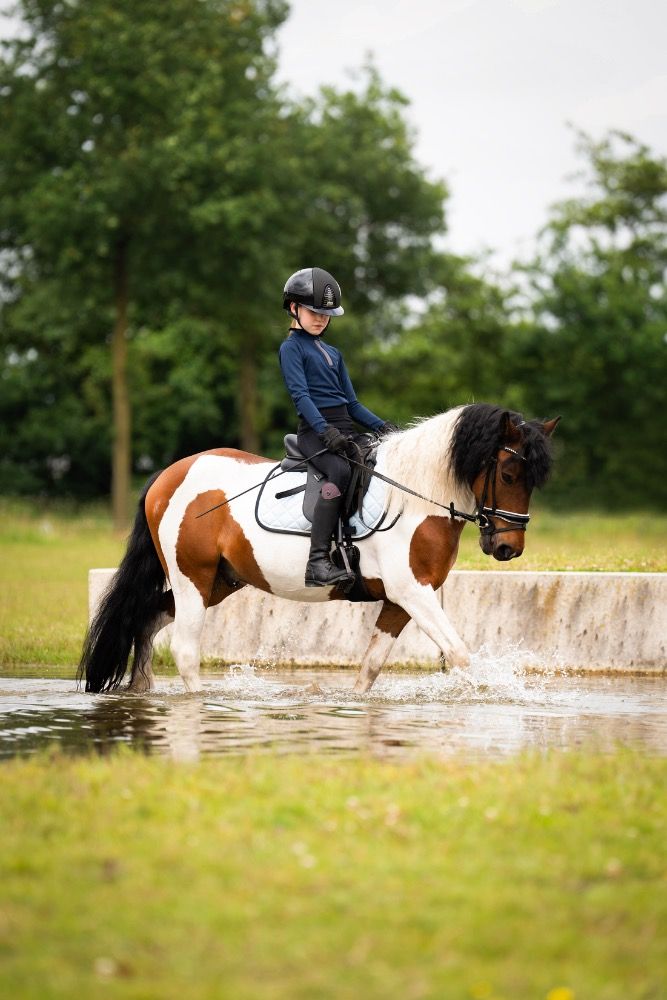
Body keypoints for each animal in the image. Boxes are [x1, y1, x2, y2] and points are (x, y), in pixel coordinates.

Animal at [79, 403, 559, 696]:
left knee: (146, 619)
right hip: (191, 578)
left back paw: (141, 693)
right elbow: (459, 654)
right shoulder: (413, 592)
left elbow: (370, 668)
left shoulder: (399, 601)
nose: (508, 547)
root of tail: (169, 474)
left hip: (219, 581)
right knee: (184, 648)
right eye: (509, 474)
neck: (416, 497)